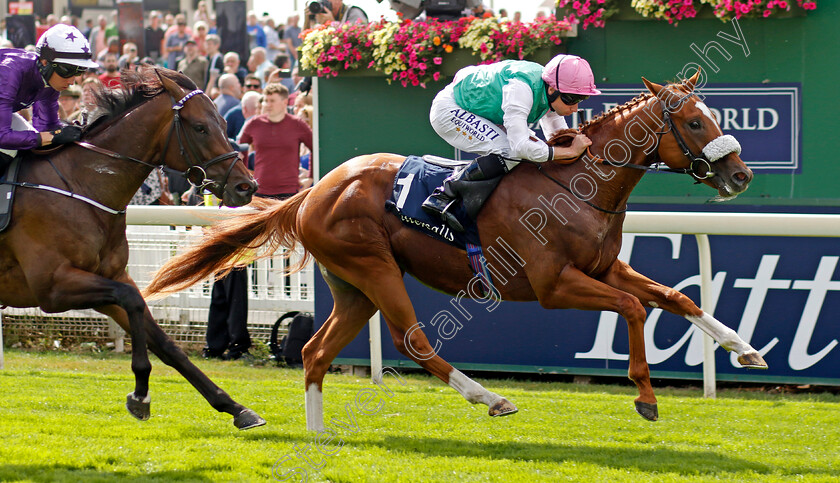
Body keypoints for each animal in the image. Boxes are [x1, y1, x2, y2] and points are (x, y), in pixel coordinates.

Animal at [0, 67, 266, 432]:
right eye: (200, 127)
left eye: (225, 125)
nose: (245, 186)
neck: (81, 184)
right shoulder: (53, 287)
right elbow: (134, 302)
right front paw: (140, 392)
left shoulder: (109, 278)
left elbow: (166, 343)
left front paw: (234, 406)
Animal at [146, 71, 768, 432]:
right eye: (694, 121)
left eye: (712, 115)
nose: (741, 175)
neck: (577, 184)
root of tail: (313, 189)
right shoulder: (552, 285)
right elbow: (636, 308)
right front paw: (645, 395)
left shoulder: (602, 266)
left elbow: (674, 298)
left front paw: (745, 349)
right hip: (374, 269)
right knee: (412, 341)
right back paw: (490, 398)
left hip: (354, 287)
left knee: (314, 352)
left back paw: (318, 434)